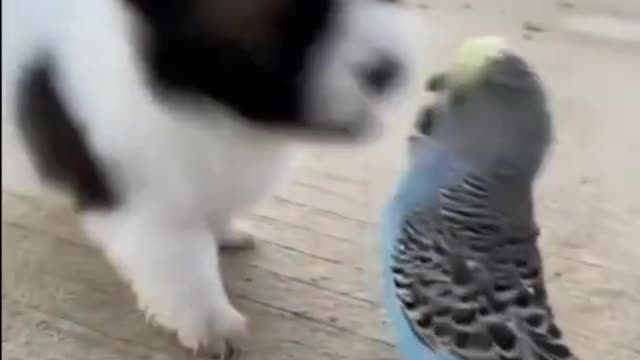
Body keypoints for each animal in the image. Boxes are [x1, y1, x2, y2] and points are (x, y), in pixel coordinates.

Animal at [2, 0, 424, 354]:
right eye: (280, 16)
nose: (388, 69)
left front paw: (227, 233)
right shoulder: (151, 209)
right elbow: (186, 269)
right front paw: (214, 328)